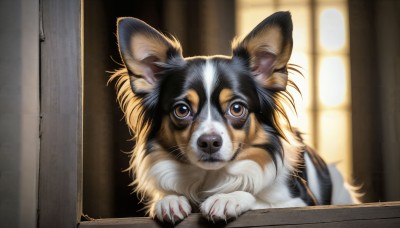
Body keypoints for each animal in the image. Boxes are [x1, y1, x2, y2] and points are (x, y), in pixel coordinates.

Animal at [110, 11, 360, 224]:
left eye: (237, 108)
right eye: (181, 110)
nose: (210, 142)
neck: (212, 177)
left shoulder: (301, 203)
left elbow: (258, 199)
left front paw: (228, 198)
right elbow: (167, 196)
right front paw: (168, 200)